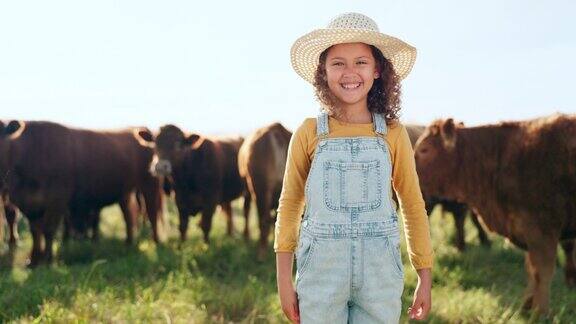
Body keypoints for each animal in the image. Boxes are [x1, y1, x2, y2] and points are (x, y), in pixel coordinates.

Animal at [1, 120, 164, 268]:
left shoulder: (57, 199)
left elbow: (48, 229)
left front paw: (48, 260)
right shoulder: (29, 204)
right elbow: (35, 231)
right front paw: (34, 260)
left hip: (149, 183)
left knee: (151, 213)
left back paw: (156, 242)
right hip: (125, 193)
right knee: (128, 216)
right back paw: (128, 243)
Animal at [414, 114, 576, 314]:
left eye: (425, 149)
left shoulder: (543, 231)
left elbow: (542, 271)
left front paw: (540, 312)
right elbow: (531, 269)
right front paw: (526, 306)